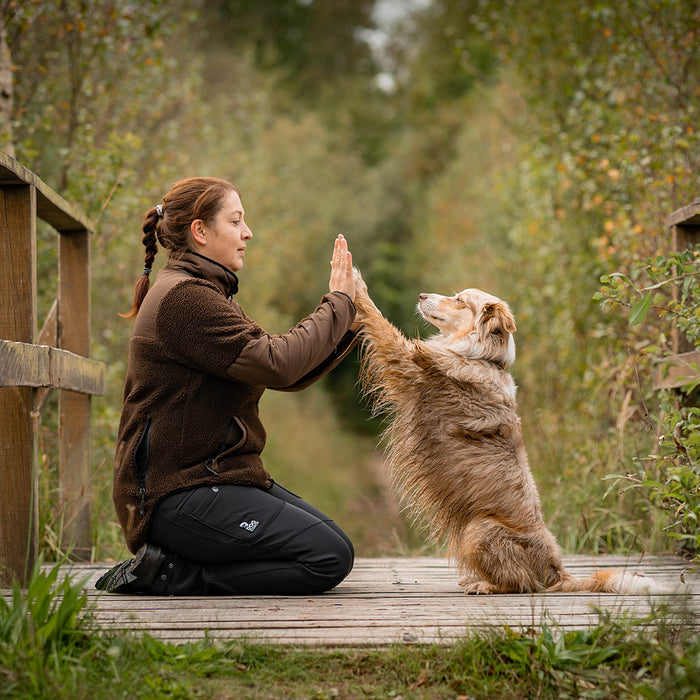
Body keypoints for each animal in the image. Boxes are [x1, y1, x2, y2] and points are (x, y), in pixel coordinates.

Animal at [352, 270, 668, 592]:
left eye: (460, 301)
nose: (421, 296)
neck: (481, 357)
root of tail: (556, 570)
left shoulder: (406, 363)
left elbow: (379, 322)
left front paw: (354, 282)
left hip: (478, 528)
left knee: (520, 583)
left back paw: (484, 585)